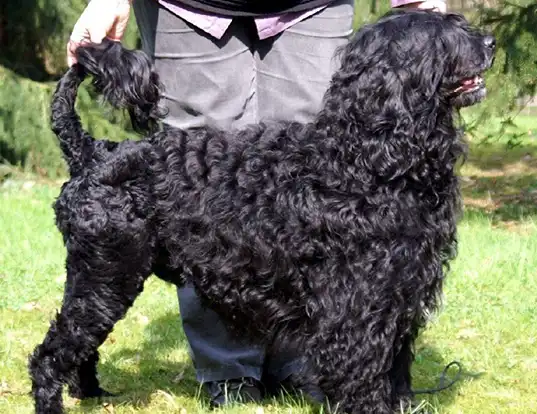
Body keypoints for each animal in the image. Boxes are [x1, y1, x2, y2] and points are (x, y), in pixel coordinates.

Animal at [29, 9, 494, 414]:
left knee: (79, 348)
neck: (364, 160)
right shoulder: (356, 310)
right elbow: (364, 380)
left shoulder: (400, 295)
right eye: (443, 37)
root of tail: (93, 153)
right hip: (105, 275)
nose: (490, 43)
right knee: (51, 354)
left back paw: (91, 393)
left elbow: (396, 373)